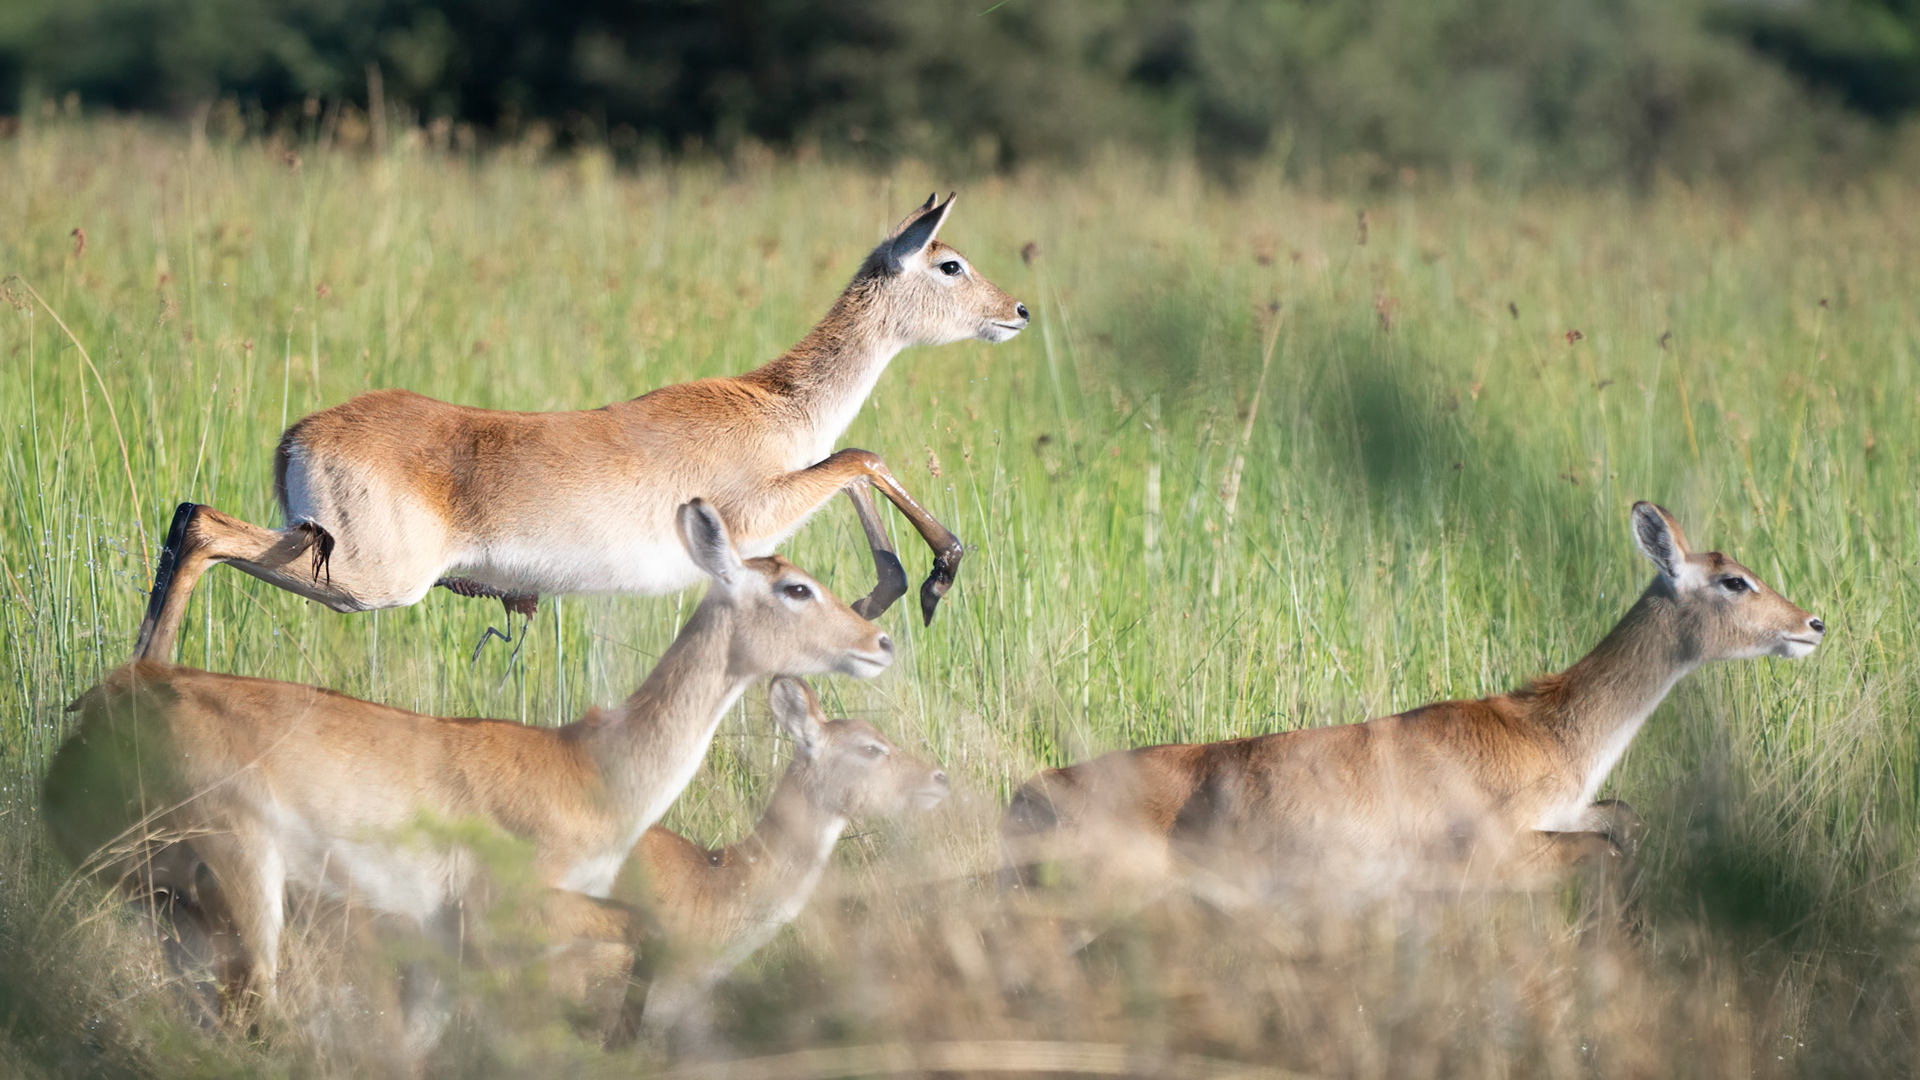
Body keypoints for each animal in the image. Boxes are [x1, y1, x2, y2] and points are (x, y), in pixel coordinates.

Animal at [43, 500, 894, 1026]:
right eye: (796, 587)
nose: (879, 642)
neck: (590, 768)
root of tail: (105, 706)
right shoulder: (506, 917)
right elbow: (638, 939)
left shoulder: (438, 954)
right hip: (245, 882)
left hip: (181, 917)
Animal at [131, 194, 1028, 662]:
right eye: (949, 263)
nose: (1018, 310)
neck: (773, 401)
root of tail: (300, 432)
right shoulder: (757, 513)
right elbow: (860, 455)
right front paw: (936, 574)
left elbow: (852, 470)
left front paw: (885, 590)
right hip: (369, 578)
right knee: (203, 527)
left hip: (323, 551)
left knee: (189, 519)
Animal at [1002, 502, 1825, 902]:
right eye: (1735, 580)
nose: (1812, 623)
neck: (1552, 731)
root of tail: (1021, 798)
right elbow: (1602, 854)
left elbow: (1624, 822)